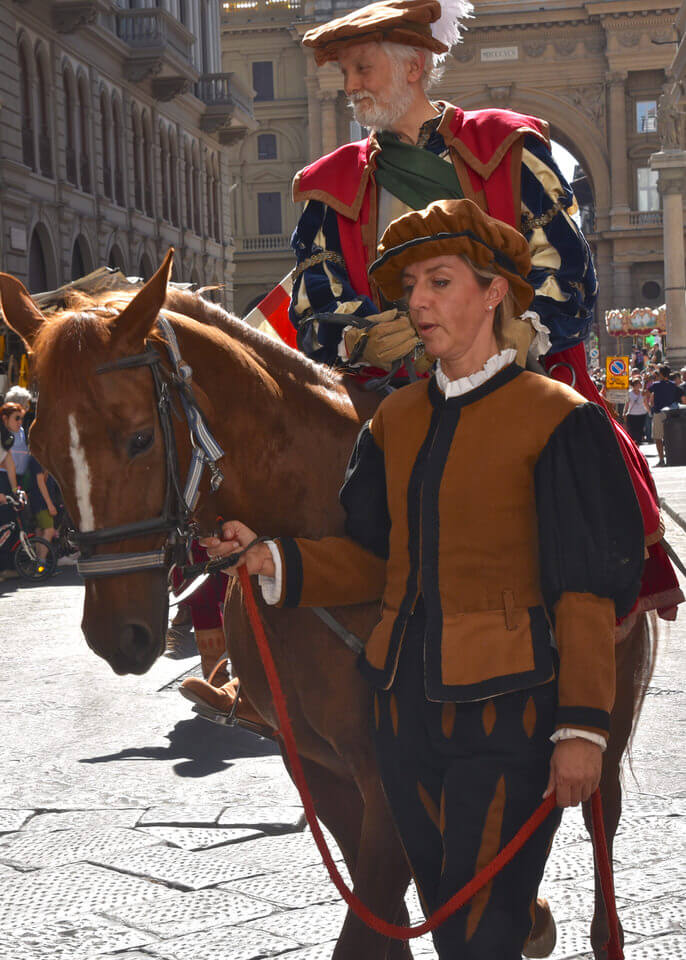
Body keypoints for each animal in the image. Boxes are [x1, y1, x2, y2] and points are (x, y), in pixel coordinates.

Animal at [0, 255, 656, 960]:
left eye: (141, 438)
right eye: (40, 444)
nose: (117, 634)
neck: (318, 508)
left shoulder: (386, 783)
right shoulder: (319, 771)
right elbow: (394, 917)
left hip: (603, 725)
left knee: (596, 831)